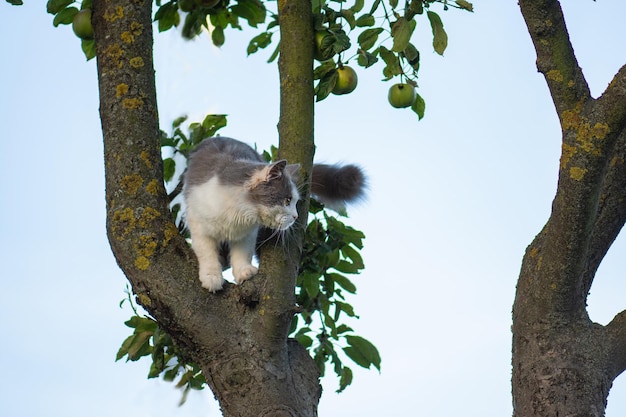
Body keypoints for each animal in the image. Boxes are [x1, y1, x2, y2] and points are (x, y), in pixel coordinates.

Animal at [183, 137, 364, 292]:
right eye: (287, 200)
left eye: (295, 202)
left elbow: (242, 253)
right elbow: (207, 254)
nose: (296, 217)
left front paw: (244, 272)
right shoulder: (198, 225)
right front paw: (212, 277)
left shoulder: (247, 234)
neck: (236, 216)